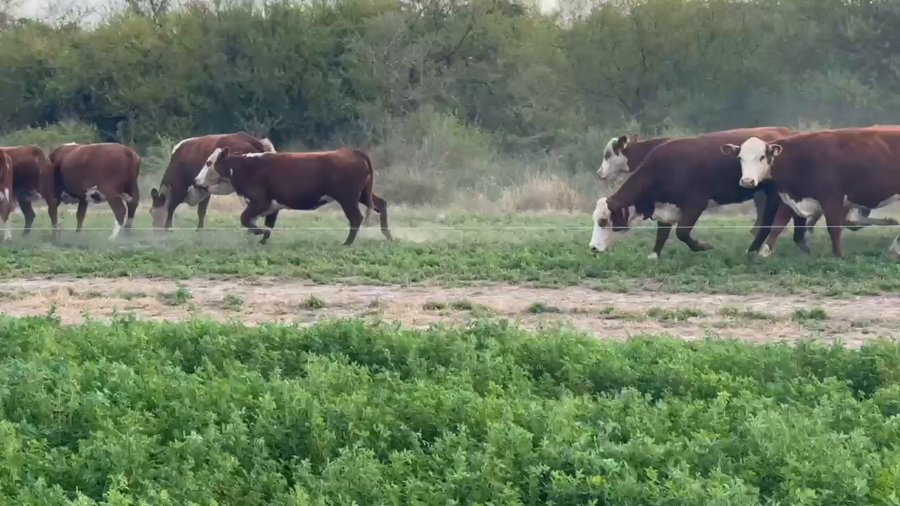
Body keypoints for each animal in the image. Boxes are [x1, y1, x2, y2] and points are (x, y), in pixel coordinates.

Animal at [192, 148, 393, 245]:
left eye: (208, 163)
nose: (196, 180)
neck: (243, 167)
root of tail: (351, 151)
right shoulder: (273, 206)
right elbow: (268, 225)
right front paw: (263, 239)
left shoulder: (259, 202)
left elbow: (245, 219)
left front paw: (260, 233)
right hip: (363, 194)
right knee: (381, 204)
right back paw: (388, 236)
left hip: (348, 197)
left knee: (356, 218)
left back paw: (347, 243)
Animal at [588, 129, 795, 258]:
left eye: (604, 221)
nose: (593, 247)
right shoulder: (665, 208)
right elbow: (662, 234)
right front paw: (654, 255)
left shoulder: (695, 205)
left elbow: (681, 232)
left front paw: (703, 246)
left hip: (772, 196)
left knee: (768, 222)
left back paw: (754, 250)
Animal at [722, 128, 900, 258]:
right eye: (740, 158)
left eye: (762, 157)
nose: (747, 181)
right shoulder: (791, 198)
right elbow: (777, 226)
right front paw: (764, 253)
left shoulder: (831, 199)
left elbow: (834, 228)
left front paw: (839, 256)